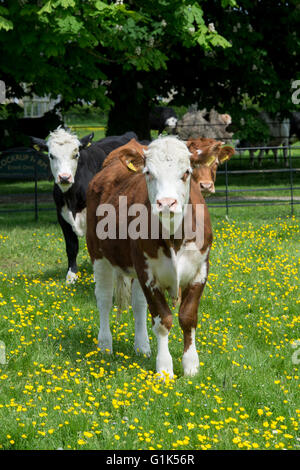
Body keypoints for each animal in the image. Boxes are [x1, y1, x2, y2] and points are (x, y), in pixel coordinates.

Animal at [31, 127, 138, 282]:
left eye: (76, 154)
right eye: (51, 155)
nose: (64, 177)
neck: (72, 199)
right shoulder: (61, 216)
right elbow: (71, 246)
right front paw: (71, 276)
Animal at [86, 136, 213, 378]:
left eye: (186, 172)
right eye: (148, 172)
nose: (166, 203)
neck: (174, 237)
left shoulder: (200, 270)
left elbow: (188, 317)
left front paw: (191, 365)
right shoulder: (147, 273)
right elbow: (163, 320)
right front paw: (164, 369)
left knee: (138, 305)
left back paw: (142, 347)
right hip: (99, 255)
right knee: (104, 299)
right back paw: (105, 345)